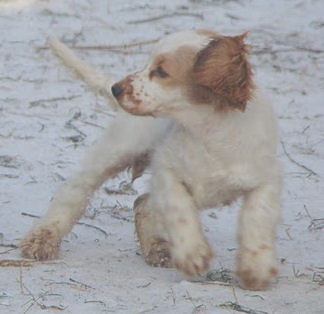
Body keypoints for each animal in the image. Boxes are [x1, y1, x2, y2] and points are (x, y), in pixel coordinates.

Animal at [21, 29, 282, 290]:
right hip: (118, 149)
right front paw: (192, 255)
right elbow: (180, 211)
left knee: (142, 203)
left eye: (161, 71)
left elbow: (257, 218)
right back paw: (40, 240)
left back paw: (158, 249)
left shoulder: (265, 179)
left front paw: (256, 270)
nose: (116, 89)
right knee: (75, 191)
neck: (208, 130)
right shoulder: (166, 171)